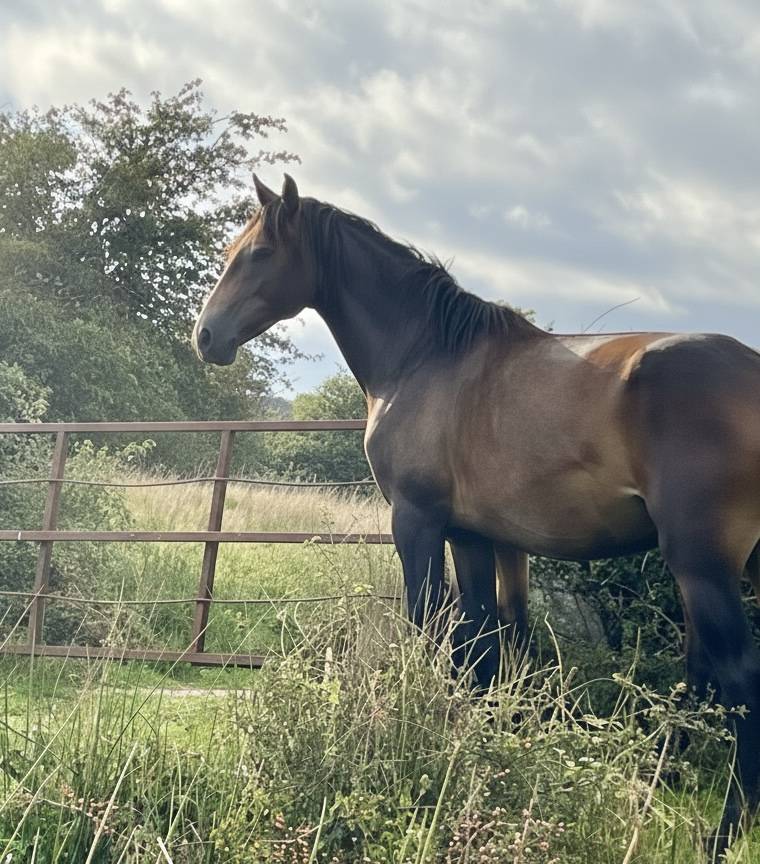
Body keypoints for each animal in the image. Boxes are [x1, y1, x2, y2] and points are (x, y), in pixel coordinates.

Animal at [193, 174, 760, 855]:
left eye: (257, 254)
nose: (205, 337)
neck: (426, 355)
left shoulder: (417, 523)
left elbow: (429, 627)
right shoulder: (471, 536)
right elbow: (486, 645)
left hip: (703, 566)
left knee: (737, 678)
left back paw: (723, 833)